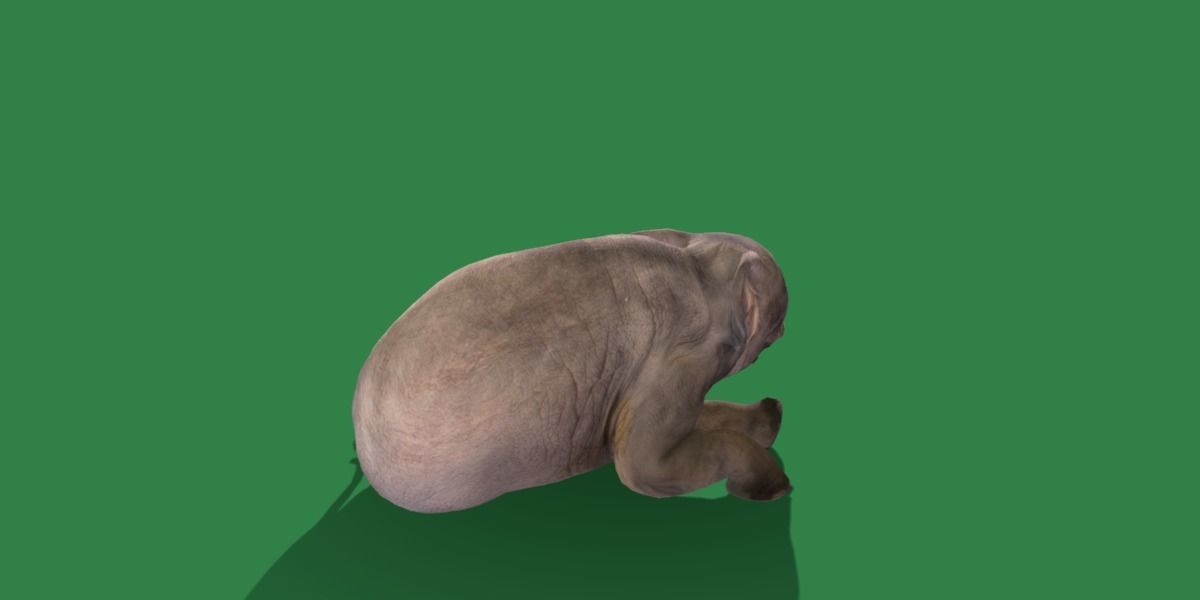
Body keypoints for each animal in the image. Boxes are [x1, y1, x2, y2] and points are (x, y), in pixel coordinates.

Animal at [352, 229, 789, 513]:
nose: (784, 329)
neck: (697, 260)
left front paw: (770, 415)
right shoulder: (678, 356)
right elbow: (641, 466)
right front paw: (775, 486)